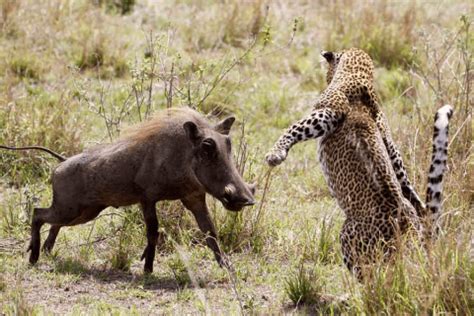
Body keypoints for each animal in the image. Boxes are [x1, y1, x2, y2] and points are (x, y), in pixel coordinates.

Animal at [264, 46, 454, 276]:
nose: (326, 78)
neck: (358, 74)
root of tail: (408, 233)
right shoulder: (388, 141)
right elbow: (406, 181)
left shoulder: (329, 112)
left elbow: (297, 126)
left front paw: (275, 154)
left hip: (350, 236)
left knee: (374, 276)